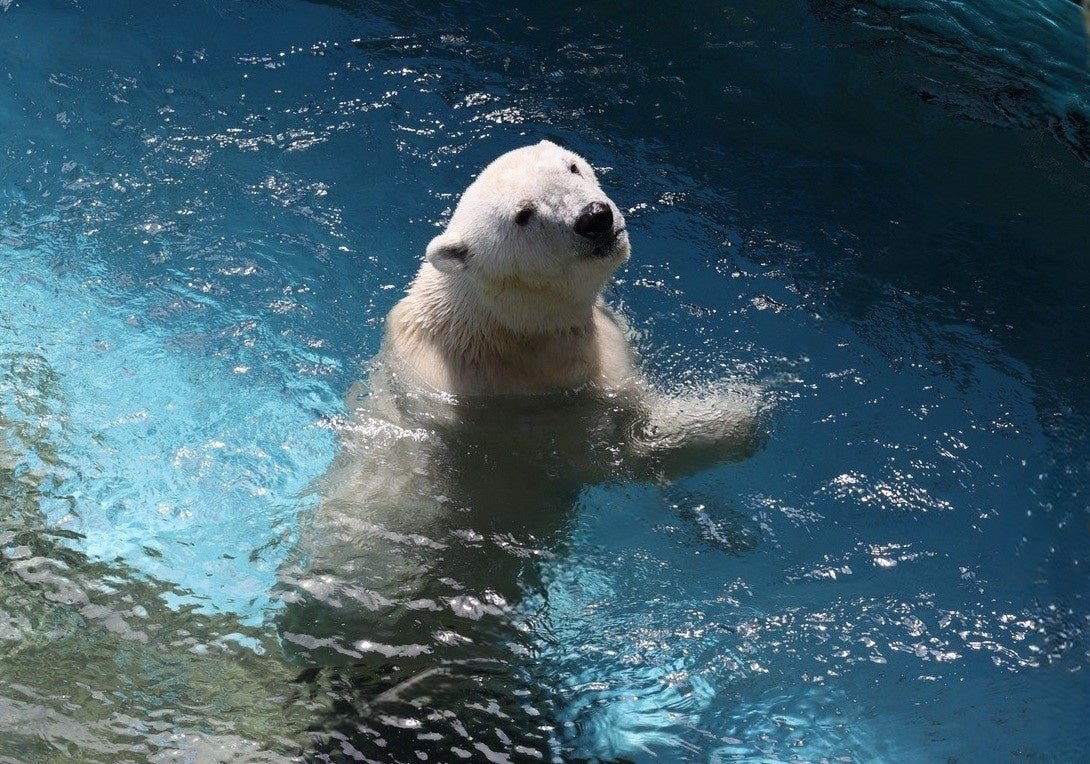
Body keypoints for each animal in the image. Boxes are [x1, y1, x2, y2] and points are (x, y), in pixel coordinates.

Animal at [276, 140, 760, 760]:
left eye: (573, 168)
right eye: (524, 215)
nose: (594, 217)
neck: (502, 330)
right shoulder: (515, 411)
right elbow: (622, 451)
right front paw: (744, 411)